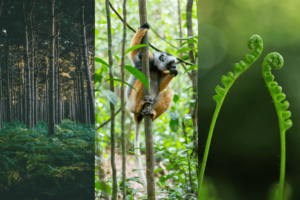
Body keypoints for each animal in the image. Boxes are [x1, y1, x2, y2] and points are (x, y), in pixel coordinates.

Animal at [125, 22, 178, 190]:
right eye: (171, 62)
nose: (174, 66)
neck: (154, 67)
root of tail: (136, 114)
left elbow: (161, 86)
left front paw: (173, 73)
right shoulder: (146, 59)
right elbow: (134, 54)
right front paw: (143, 28)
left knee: (169, 92)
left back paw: (151, 112)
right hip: (131, 102)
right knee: (141, 79)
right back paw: (141, 104)